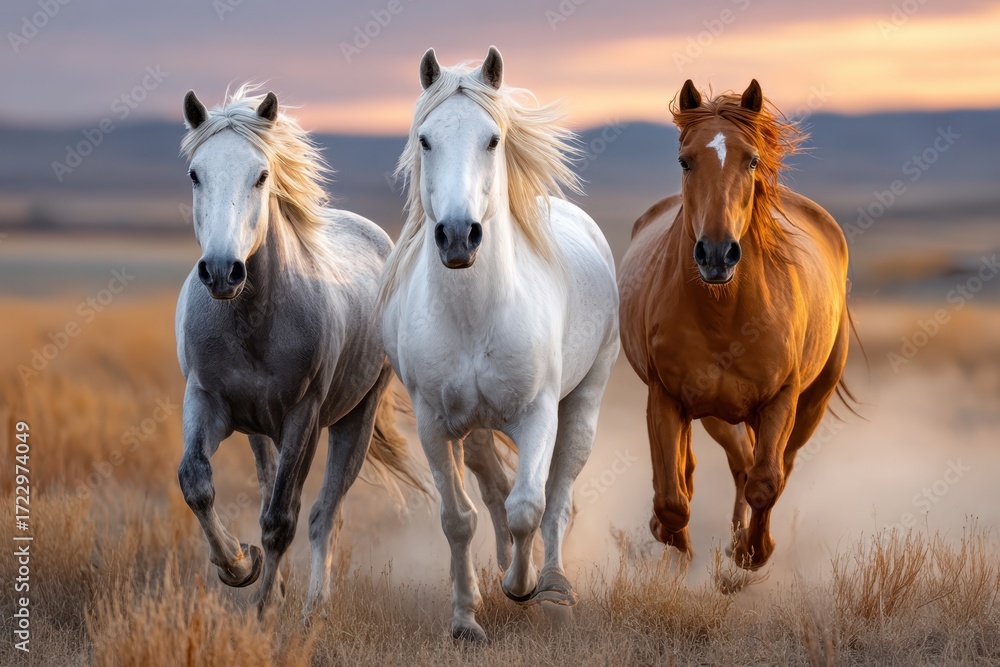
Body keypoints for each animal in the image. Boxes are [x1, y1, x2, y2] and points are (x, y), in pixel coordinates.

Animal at [175, 85, 425, 618]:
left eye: (261, 175)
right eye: (195, 173)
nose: (222, 271)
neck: (251, 323)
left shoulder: (303, 418)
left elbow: (281, 521)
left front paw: (265, 610)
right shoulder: (205, 400)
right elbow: (197, 483)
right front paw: (237, 566)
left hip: (354, 420)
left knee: (324, 513)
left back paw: (315, 608)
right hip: (258, 430)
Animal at [379, 47, 620, 642]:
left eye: (492, 139)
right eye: (425, 139)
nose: (457, 236)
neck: (474, 317)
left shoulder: (538, 415)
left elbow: (529, 505)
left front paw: (522, 587)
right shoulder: (433, 424)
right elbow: (459, 517)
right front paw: (466, 618)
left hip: (583, 402)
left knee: (558, 495)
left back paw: (554, 588)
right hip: (476, 427)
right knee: (491, 488)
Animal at [618, 79, 857, 570]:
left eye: (751, 160)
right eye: (685, 160)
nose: (716, 253)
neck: (724, 315)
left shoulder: (781, 399)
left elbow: (766, 482)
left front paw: (752, 553)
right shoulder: (666, 396)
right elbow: (672, 498)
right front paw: (674, 539)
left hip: (811, 404)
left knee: (769, 466)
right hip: (715, 412)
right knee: (719, 465)